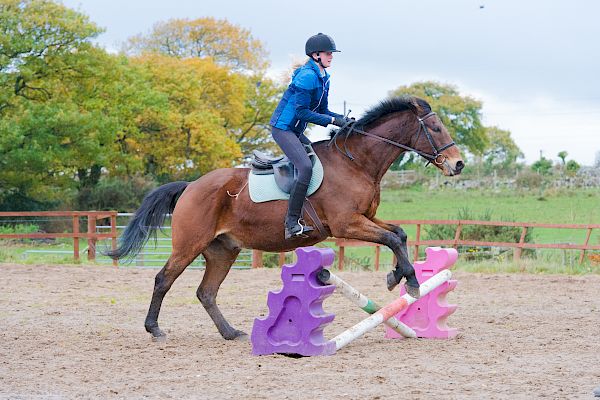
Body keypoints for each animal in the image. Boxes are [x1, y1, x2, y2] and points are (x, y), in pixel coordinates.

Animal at [108, 95, 464, 340]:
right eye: (435, 128)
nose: (458, 164)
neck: (357, 162)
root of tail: (190, 186)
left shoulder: (365, 217)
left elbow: (399, 234)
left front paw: (399, 276)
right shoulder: (347, 223)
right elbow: (391, 238)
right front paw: (411, 283)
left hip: (223, 250)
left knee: (206, 292)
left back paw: (230, 332)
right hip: (189, 244)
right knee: (163, 280)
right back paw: (154, 329)